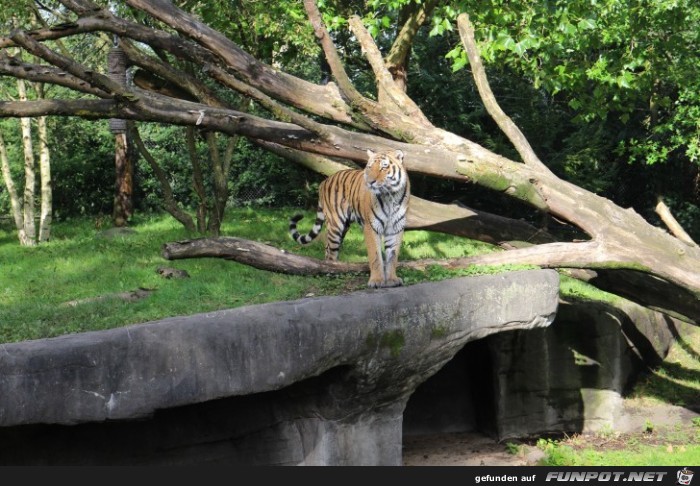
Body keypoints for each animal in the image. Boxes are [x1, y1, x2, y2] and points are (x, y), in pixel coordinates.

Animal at [288, 148, 410, 288]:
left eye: (384, 167)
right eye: (369, 167)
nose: (370, 182)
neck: (390, 196)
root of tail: (324, 181)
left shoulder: (395, 228)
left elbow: (393, 256)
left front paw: (391, 279)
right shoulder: (371, 227)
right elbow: (375, 255)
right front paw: (376, 280)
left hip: (344, 227)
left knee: (328, 247)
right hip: (336, 225)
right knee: (331, 249)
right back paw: (331, 271)